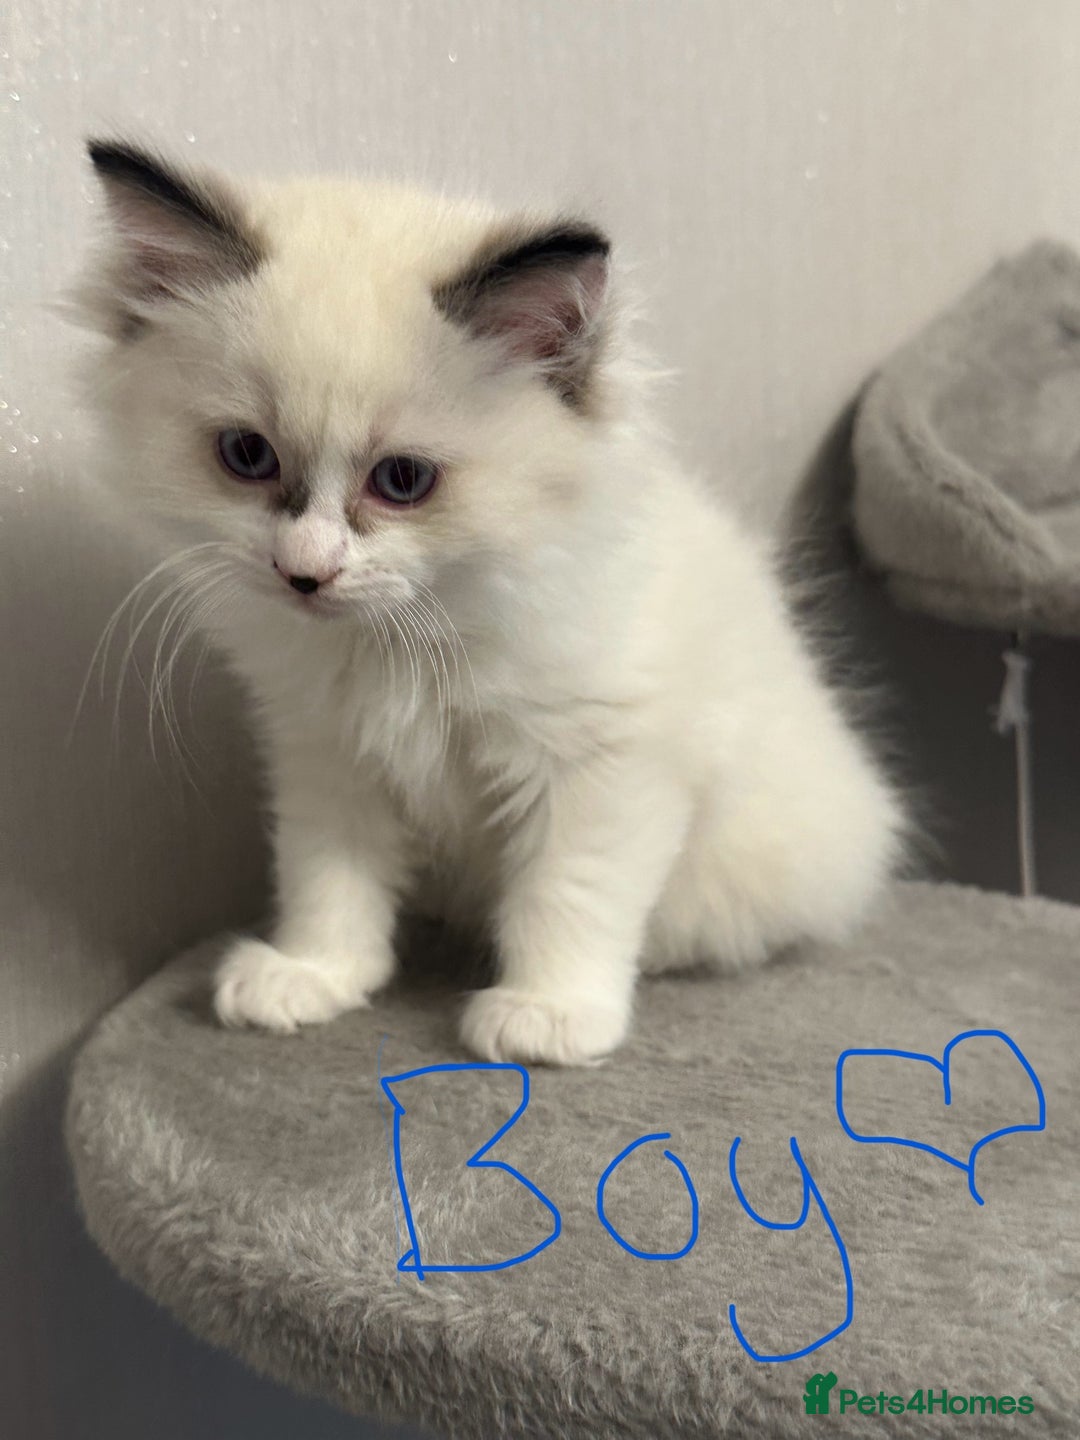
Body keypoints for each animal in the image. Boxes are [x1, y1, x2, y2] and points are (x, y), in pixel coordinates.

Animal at [72, 139, 904, 1067]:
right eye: (247, 456)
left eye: (402, 480)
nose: (305, 573)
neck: (398, 646)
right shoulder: (326, 753)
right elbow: (328, 877)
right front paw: (316, 976)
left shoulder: (602, 762)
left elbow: (566, 894)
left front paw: (548, 1016)